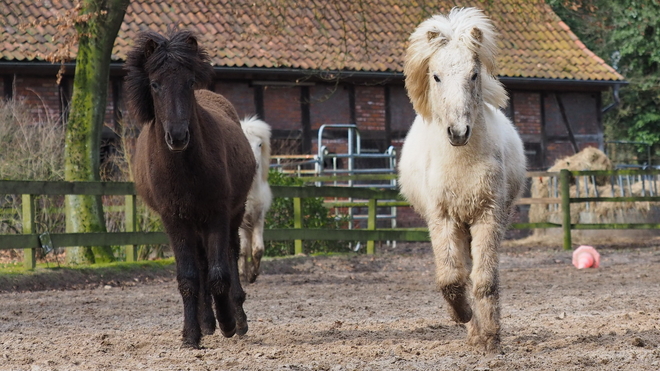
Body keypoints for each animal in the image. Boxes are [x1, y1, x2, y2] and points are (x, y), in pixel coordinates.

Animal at [125, 30, 256, 350]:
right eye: (155, 84)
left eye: (189, 82)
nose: (177, 136)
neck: (185, 169)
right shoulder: (174, 220)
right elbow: (188, 277)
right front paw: (191, 335)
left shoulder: (217, 214)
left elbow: (219, 273)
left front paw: (228, 322)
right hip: (194, 223)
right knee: (201, 264)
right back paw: (206, 322)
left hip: (232, 213)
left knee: (229, 255)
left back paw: (235, 317)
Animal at [398, 7, 524, 354]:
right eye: (436, 76)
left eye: (474, 74)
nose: (458, 132)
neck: (462, 163)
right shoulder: (443, 218)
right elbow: (451, 278)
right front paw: (463, 315)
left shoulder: (488, 215)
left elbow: (485, 281)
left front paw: (491, 336)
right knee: (462, 271)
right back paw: (470, 328)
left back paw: (479, 334)